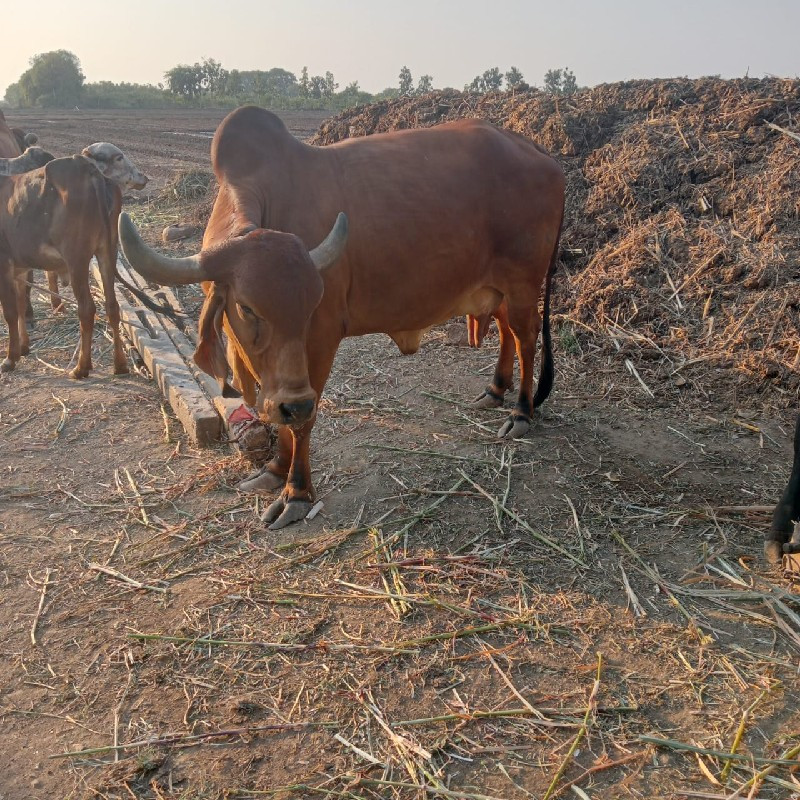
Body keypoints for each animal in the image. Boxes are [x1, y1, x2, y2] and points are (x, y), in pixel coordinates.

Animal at [0, 148, 148, 380]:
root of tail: (88, 169)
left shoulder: (4, 264)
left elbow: (10, 311)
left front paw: (10, 358)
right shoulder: (20, 268)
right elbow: (22, 304)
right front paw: (23, 348)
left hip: (77, 258)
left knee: (87, 308)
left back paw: (81, 367)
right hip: (107, 252)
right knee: (112, 306)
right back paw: (120, 365)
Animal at [120, 106, 568, 532]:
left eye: (312, 301)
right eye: (246, 307)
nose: (294, 401)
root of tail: (540, 154)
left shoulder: (320, 341)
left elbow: (303, 421)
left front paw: (296, 494)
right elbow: (283, 418)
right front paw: (274, 470)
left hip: (523, 282)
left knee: (526, 339)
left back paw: (521, 413)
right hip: (498, 288)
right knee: (508, 333)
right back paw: (494, 391)